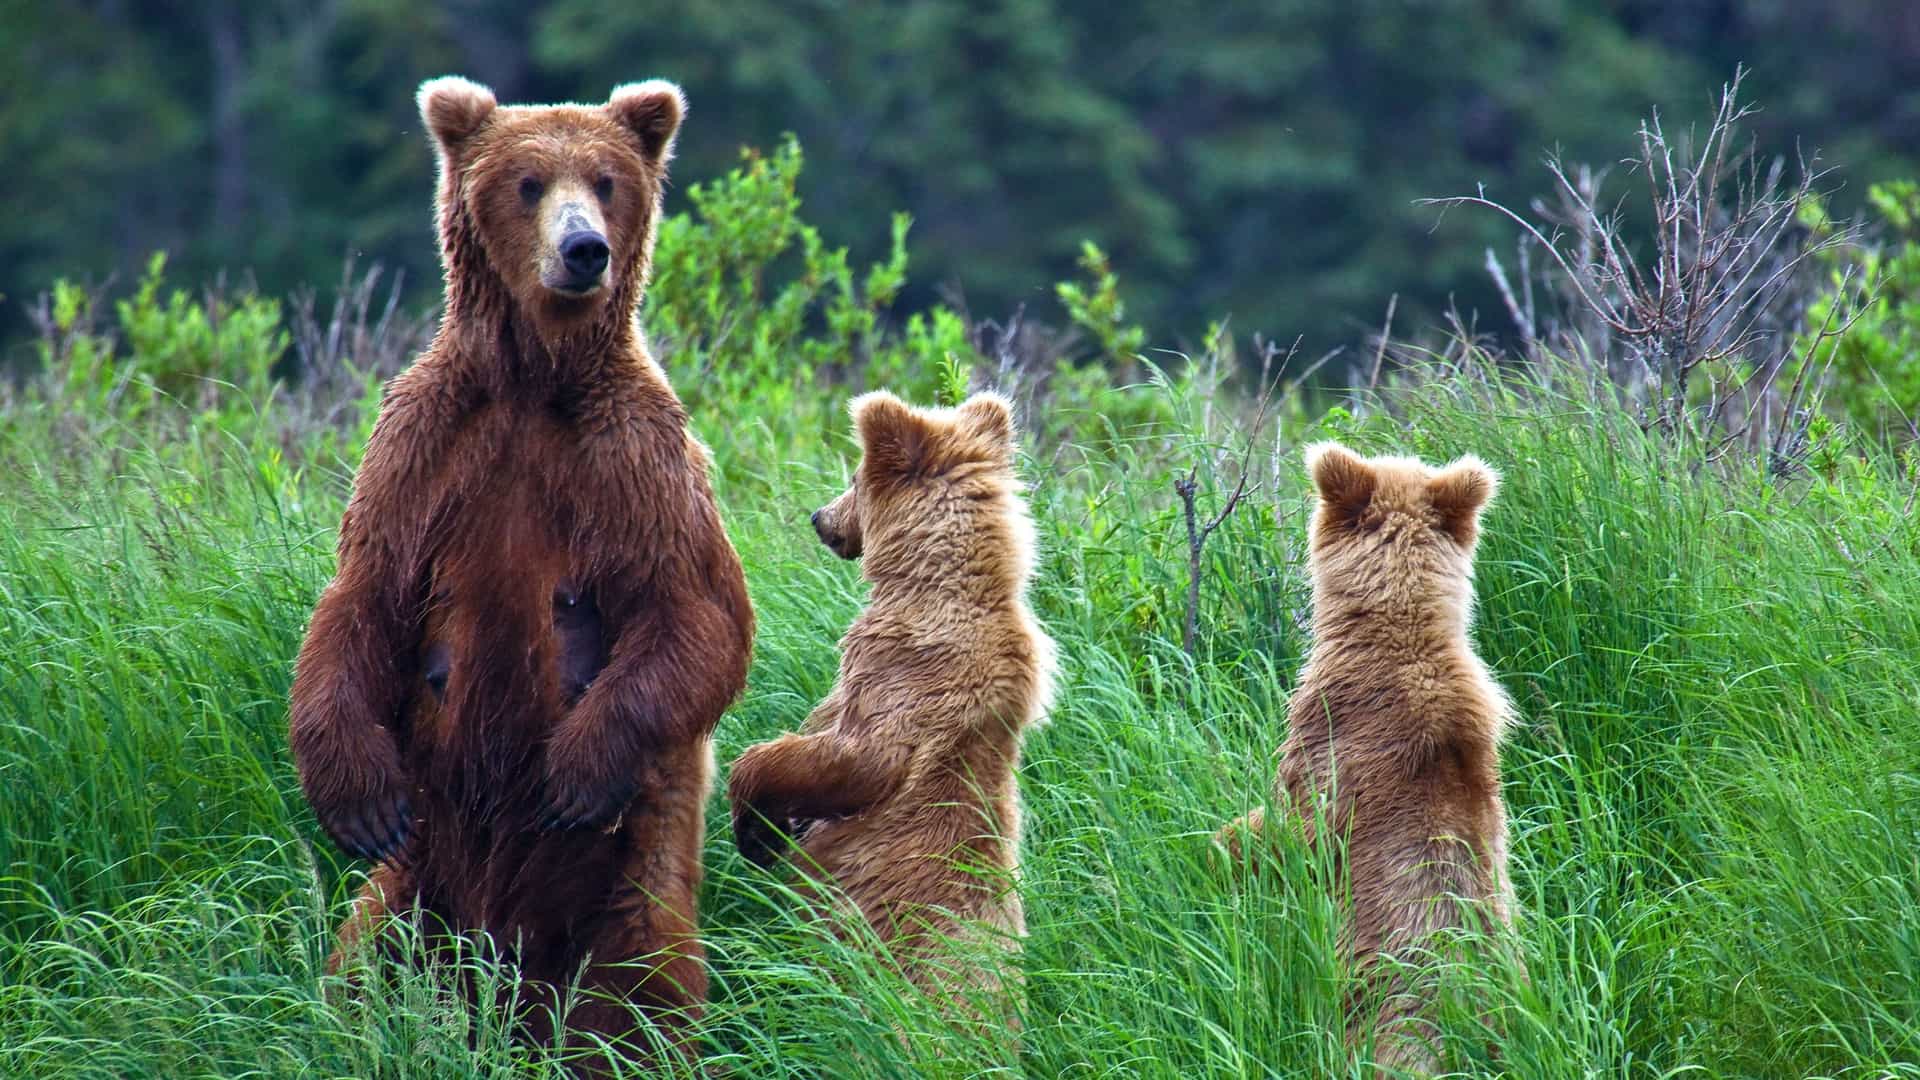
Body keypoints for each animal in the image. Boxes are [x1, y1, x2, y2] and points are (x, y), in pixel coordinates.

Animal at [287, 75, 754, 1065]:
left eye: (607, 180)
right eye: (530, 181)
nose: (584, 250)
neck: (536, 378)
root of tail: (507, 991)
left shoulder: (633, 459)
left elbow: (695, 614)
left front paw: (575, 772)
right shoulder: (426, 447)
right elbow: (361, 599)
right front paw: (355, 797)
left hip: (624, 893)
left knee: (643, 988)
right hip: (418, 882)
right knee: (363, 961)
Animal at [726, 390, 1055, 1022]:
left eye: (853, 477)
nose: (819, 517)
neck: (930, 585)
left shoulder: (906, 675)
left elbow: (855, 758)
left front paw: (756, 827)